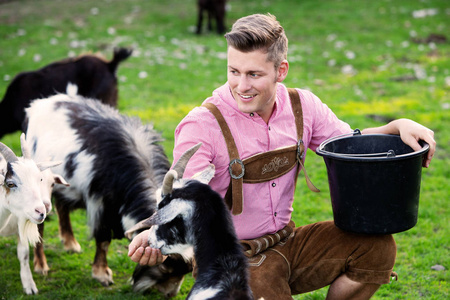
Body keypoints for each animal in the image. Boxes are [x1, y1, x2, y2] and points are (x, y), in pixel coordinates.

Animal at [23, 93, 191, 296]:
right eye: (166, 266)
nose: (170, 294)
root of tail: (39, 104)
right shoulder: (100, 203)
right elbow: (103, 239)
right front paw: (102, 274)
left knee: (62, 205)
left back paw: (70, 243)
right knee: (39, 223)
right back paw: (41, 265)